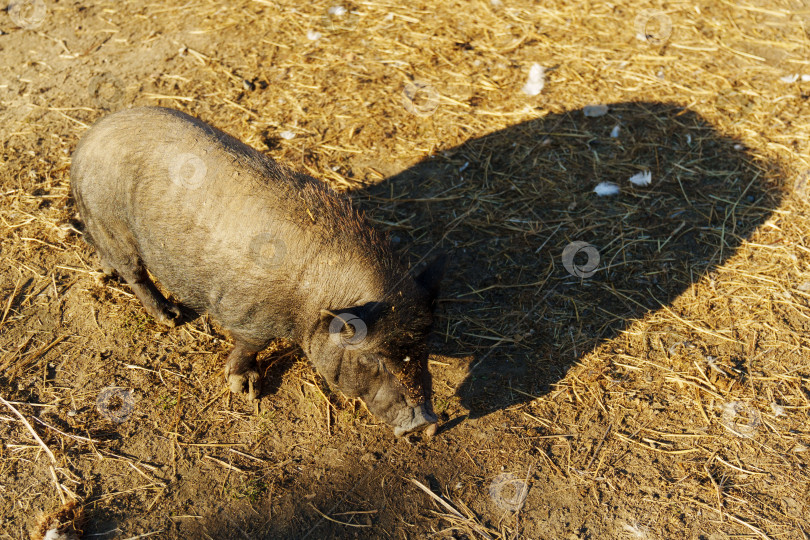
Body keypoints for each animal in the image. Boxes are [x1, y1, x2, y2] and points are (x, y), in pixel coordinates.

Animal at [70, 107, 445, 437]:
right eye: (372, 359)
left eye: (423, 346)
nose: (426, 422)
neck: (312, 302)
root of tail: (87, 140)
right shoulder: (248, 314)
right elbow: (250, 346)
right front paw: (247, 390)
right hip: (112, 222)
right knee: (135, 273)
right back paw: (171, 316)